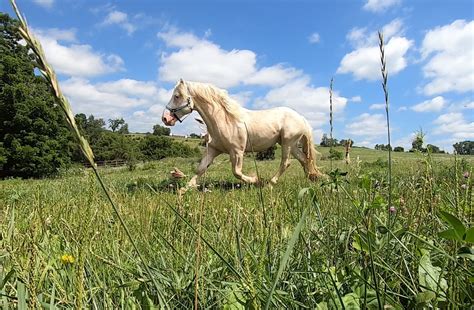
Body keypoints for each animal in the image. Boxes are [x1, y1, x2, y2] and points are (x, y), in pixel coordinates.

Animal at [161, 78, 324, 188]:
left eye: (177, 96)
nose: (165, 118)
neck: (224, 120)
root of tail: (301, 118)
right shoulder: (214, 149)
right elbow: (201, 168)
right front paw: (185, 189)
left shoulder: (237, 151)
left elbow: (237, 172)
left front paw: (256, 180)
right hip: (292, 145)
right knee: (304, 159)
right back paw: (312, 178)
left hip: (287, 143)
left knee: (286, 163)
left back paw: (270, 184)